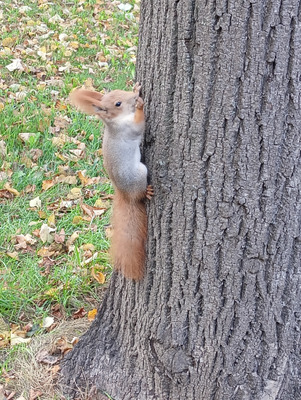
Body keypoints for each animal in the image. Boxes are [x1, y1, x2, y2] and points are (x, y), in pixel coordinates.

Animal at [70, 83, 152, 280]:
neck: (114, 122)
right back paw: (147, 192)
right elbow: (139, 126)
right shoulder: (128, 129)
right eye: (118, 104)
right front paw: (140, 106)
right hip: (139, 173)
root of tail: (125, 195)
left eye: (119, 92)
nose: (134, 97)